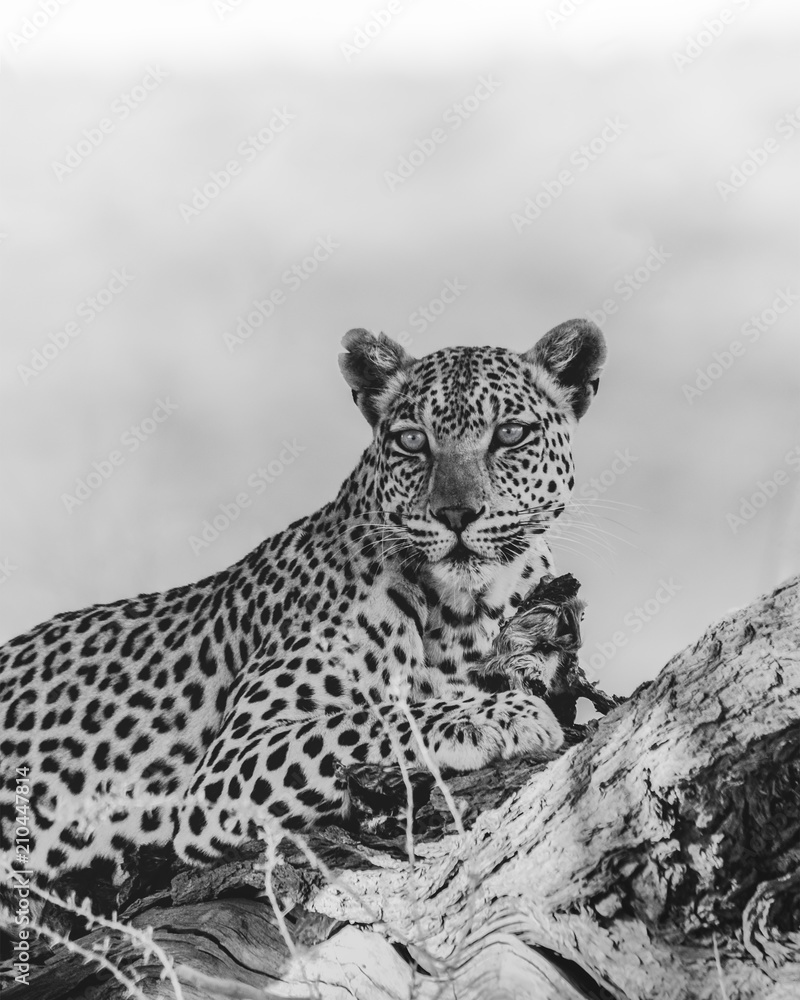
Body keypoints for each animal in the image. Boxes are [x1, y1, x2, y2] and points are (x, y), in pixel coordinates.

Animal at [0, 318, 606, 890]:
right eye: (413, 441)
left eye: (511, 434)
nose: (456, 514)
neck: (464, 611)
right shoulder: (229, 765)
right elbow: (374, 717)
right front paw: (501, 716)